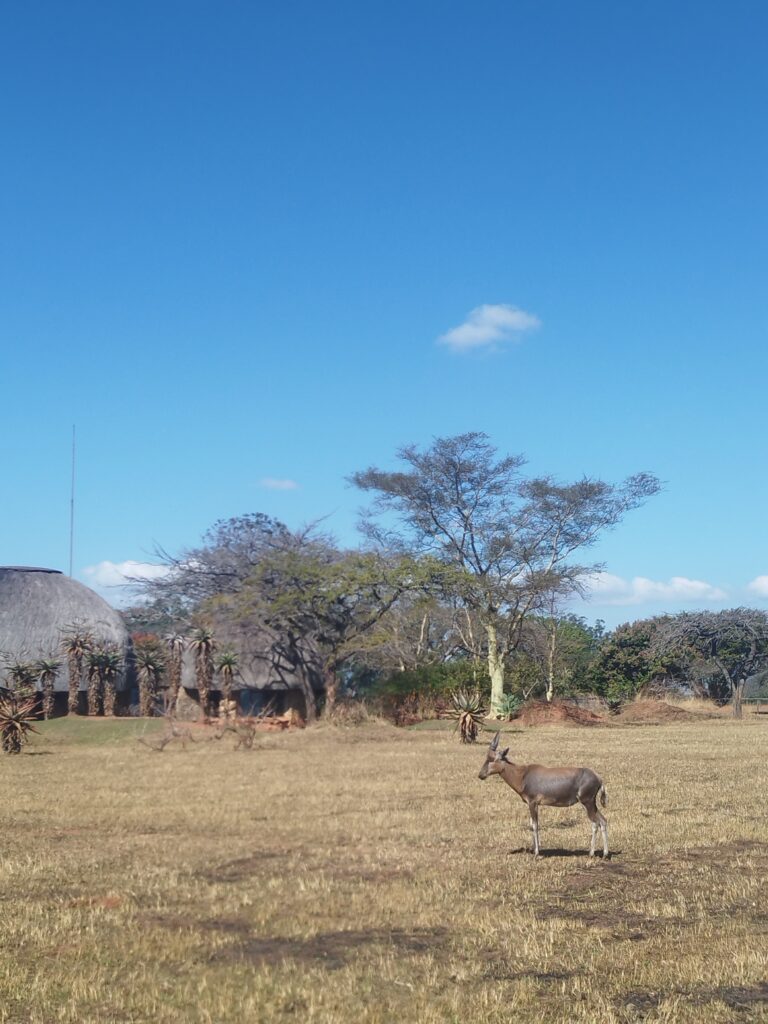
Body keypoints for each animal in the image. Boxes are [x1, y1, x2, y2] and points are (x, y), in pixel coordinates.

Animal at [478, 732, 609, 858]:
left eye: (491, 759)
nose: (480, 775)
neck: (523, 775)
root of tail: (598, 778)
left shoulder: (532, 803)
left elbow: (535, 825)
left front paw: (537, 853)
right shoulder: (534, 805)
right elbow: (532, 824)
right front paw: (534, 849)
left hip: (587, 803)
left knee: (596, 822)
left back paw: (597, 854)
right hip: (590, 804)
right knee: (602, 821)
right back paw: (599, 853)